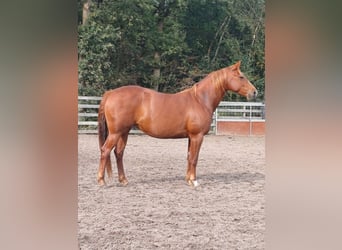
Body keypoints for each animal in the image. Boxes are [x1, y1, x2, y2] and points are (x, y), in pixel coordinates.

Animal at [96, 61, 256, 187]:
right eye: (241, 77)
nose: (254, 92)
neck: (200, 100)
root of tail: (111, 93)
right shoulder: (197, 136)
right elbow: (194, 158)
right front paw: (194, 181)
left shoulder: (191, 137)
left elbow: (189, 157)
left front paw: (188, 179)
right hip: (116, 133)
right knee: (105, 151)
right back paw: (101, 181)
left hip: (124, 132)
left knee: (118, 153)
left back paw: (123, 180)